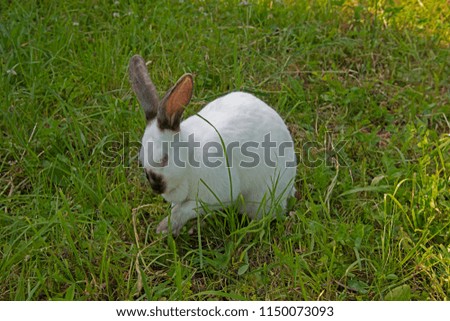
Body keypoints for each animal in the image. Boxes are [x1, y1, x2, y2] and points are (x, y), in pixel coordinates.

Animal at [128, 54, 298, 235]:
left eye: (164, 159)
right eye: (141, 161)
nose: (156, 187)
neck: (189, 162)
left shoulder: (217, 194)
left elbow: (186, 210)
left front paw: (164, 227)